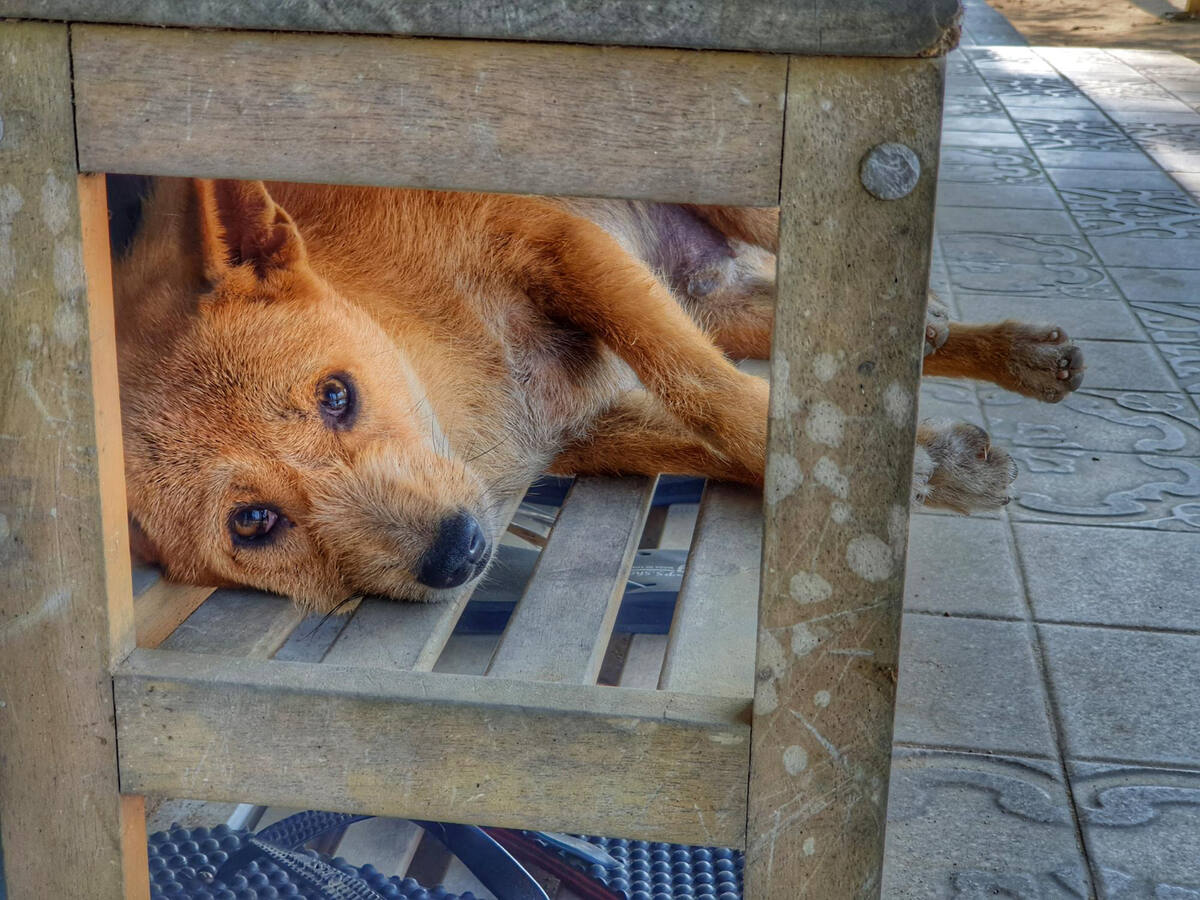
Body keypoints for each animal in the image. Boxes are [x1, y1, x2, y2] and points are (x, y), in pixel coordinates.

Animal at [117, 177, 1084, 614]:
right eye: (253, 524)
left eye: (336, 395)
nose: (457, 553)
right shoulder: (592, 428)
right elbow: (727, 435)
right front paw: (925, 465)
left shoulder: (555, 240)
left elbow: (709, 391)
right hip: (714, 300)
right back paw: (992, 352)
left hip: (751, 215)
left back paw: (982, 340)